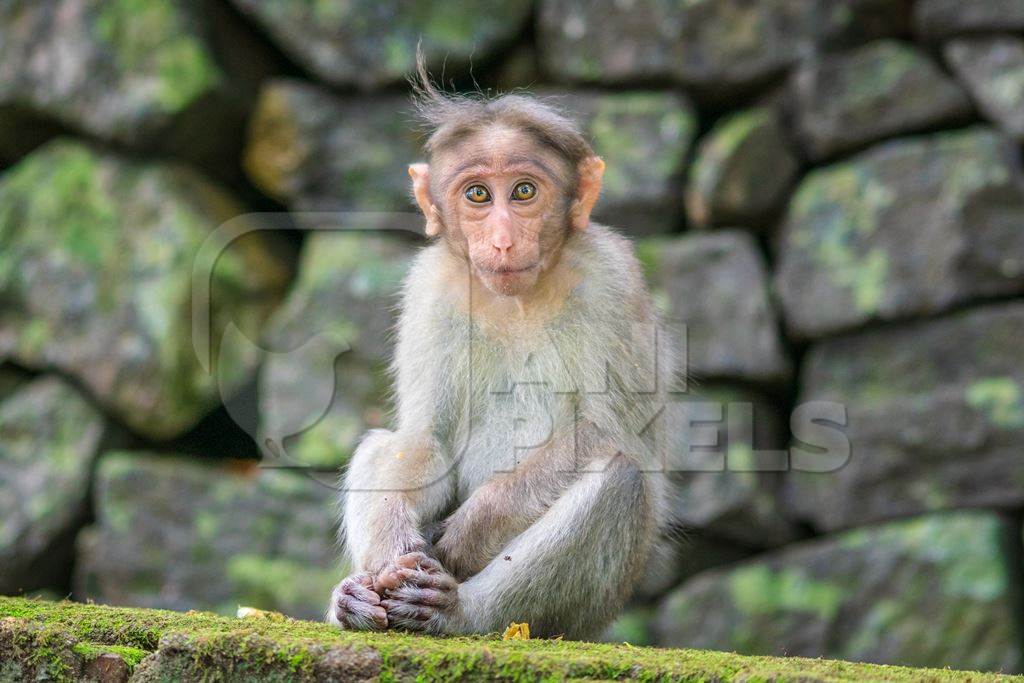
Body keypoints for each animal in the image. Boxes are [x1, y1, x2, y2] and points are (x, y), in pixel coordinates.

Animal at [327, 60, 675, 643]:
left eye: (524, 191)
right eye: (478, 196)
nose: (504, 240)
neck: (516, 299)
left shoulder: (612, 276)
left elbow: (609, 432)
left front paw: (467, 533)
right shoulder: (431, 287)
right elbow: (424, 440)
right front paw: (392, 553)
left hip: (592, 607)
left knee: (617, 479)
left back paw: (458, 614)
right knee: (383, 443)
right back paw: (354, 600)